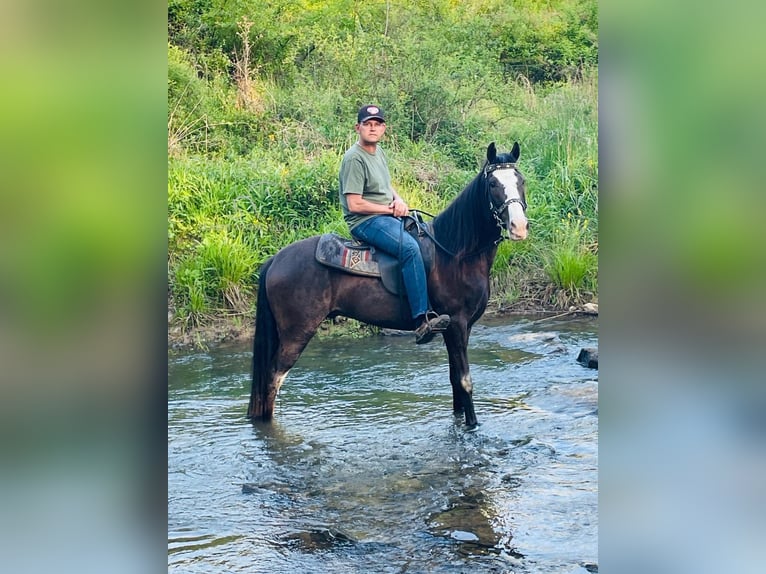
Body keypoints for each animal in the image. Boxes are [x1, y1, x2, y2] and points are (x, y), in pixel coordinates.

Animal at [249, 142, 532, 430]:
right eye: (493, 184)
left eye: (521, 181)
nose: (519, 226)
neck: (455, 254)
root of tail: (275, 260)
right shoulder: (457, 324)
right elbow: (465, 381)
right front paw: (473, 426)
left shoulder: (458, 328)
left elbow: (454, 381)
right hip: (296, 334)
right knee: (273, 380)